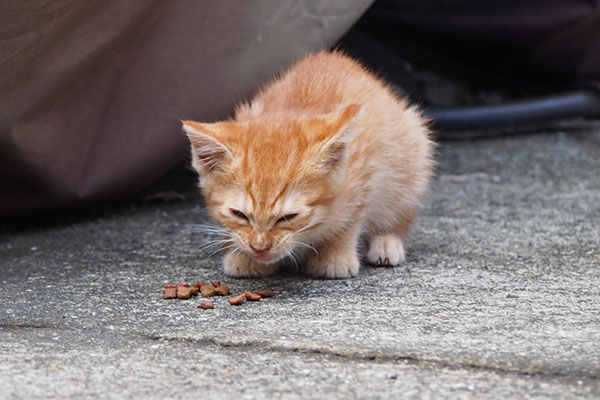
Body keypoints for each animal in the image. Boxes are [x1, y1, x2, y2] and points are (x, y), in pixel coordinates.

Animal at [180, 50, 434, 278]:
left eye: (288, 217)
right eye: (239, 214)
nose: (259, 247)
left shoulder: (365, 169)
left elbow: (350, 219)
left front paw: (334, 255)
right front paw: (244, 256)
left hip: (413, 155)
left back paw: (386, 241)